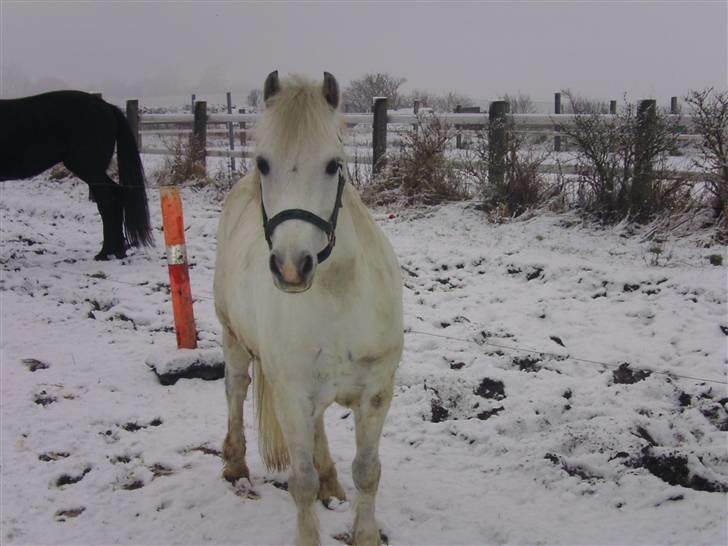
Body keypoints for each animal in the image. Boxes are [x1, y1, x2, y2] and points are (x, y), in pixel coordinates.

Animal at [0, 89, 154, 260]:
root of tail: (107, 107)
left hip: (89, 169)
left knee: (108, 202)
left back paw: (105, 253)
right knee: (116, 195)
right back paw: (117, 251)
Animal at [213, 72, 404, 544]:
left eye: (334, 165)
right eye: (264, 163)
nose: (290, 266)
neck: (340, 297)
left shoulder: (376, 393)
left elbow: (367, 472)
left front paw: (364, 533)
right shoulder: (291, 395)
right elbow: (300, 482)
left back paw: (331, 484)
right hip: (233, 337)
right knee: (235, 388)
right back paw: (235, 464)